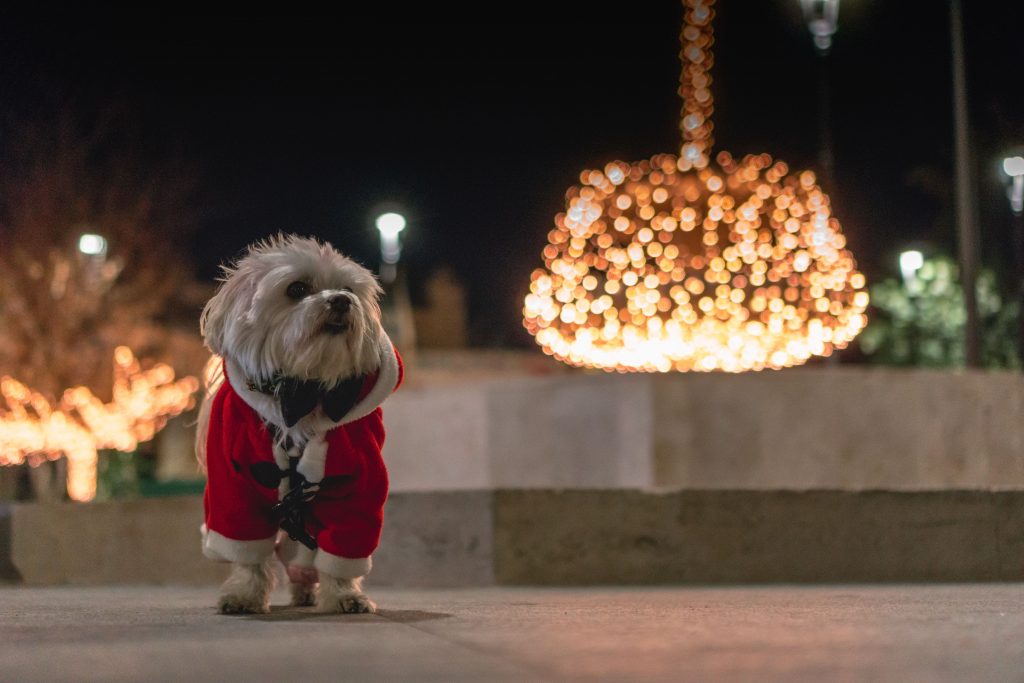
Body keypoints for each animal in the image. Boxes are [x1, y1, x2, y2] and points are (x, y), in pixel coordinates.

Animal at [193, 233, 401, 614]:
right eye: (297, 289)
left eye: (348, 288)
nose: (341, 301)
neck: (304, 390)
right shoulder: (235, 484)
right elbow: (246, 548)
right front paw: (245, 594)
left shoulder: (358, 481)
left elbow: (345, 543)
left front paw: (345, 595)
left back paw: (306, 587)